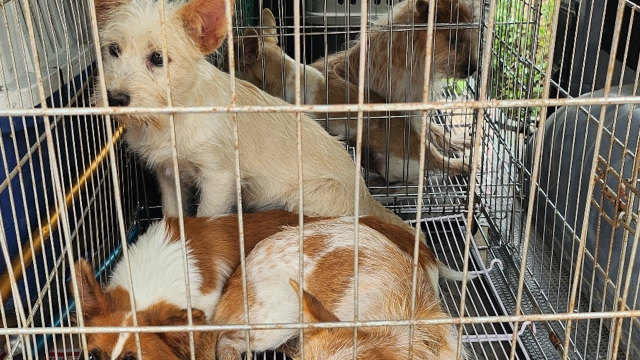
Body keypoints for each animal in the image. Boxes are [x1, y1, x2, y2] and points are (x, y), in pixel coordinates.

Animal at [95, 0, 416, 235]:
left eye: (158, 58)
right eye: (113, 50)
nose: (116, 98)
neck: (171, 117)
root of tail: (368, 199)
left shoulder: (219, 177)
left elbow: (206, 216)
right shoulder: (167, 174)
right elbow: (174, 213)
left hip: (313, 197)